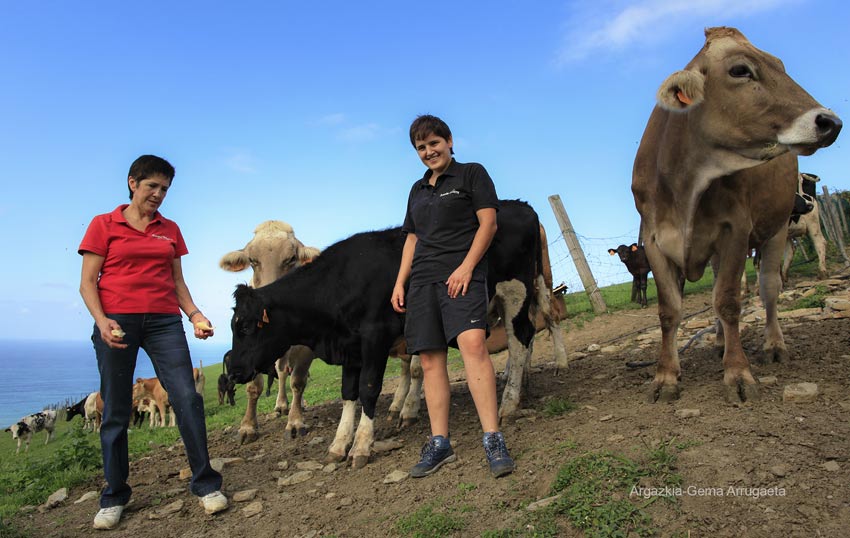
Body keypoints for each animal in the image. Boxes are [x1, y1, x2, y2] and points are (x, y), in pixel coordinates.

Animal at [632, 26, 840, 402]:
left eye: (780, 65)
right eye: (740, 70)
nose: (830, 121)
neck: (685, 186)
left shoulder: (736, 230)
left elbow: (729, 301)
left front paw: (738, 373)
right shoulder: (654, 240)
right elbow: (669, 311)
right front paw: (666, 377)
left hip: (776, 230)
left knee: (769, 288)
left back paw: (773, 344)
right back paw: (717, 341)